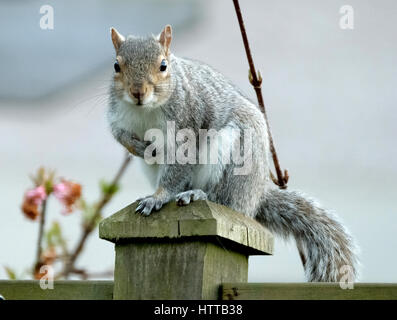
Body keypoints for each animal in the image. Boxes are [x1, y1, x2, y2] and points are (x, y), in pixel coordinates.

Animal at [106, 25, 358, 282]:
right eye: (116, 66)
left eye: (163, 65)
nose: (138, 92)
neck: (145, 110)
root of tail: (255, 197)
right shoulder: (118, 116)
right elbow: (120, 135)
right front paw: (139, 148)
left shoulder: (187, 126)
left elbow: (177, 168)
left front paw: (158, 197)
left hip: (234, 157)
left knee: (224, 199)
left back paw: (196, 194)